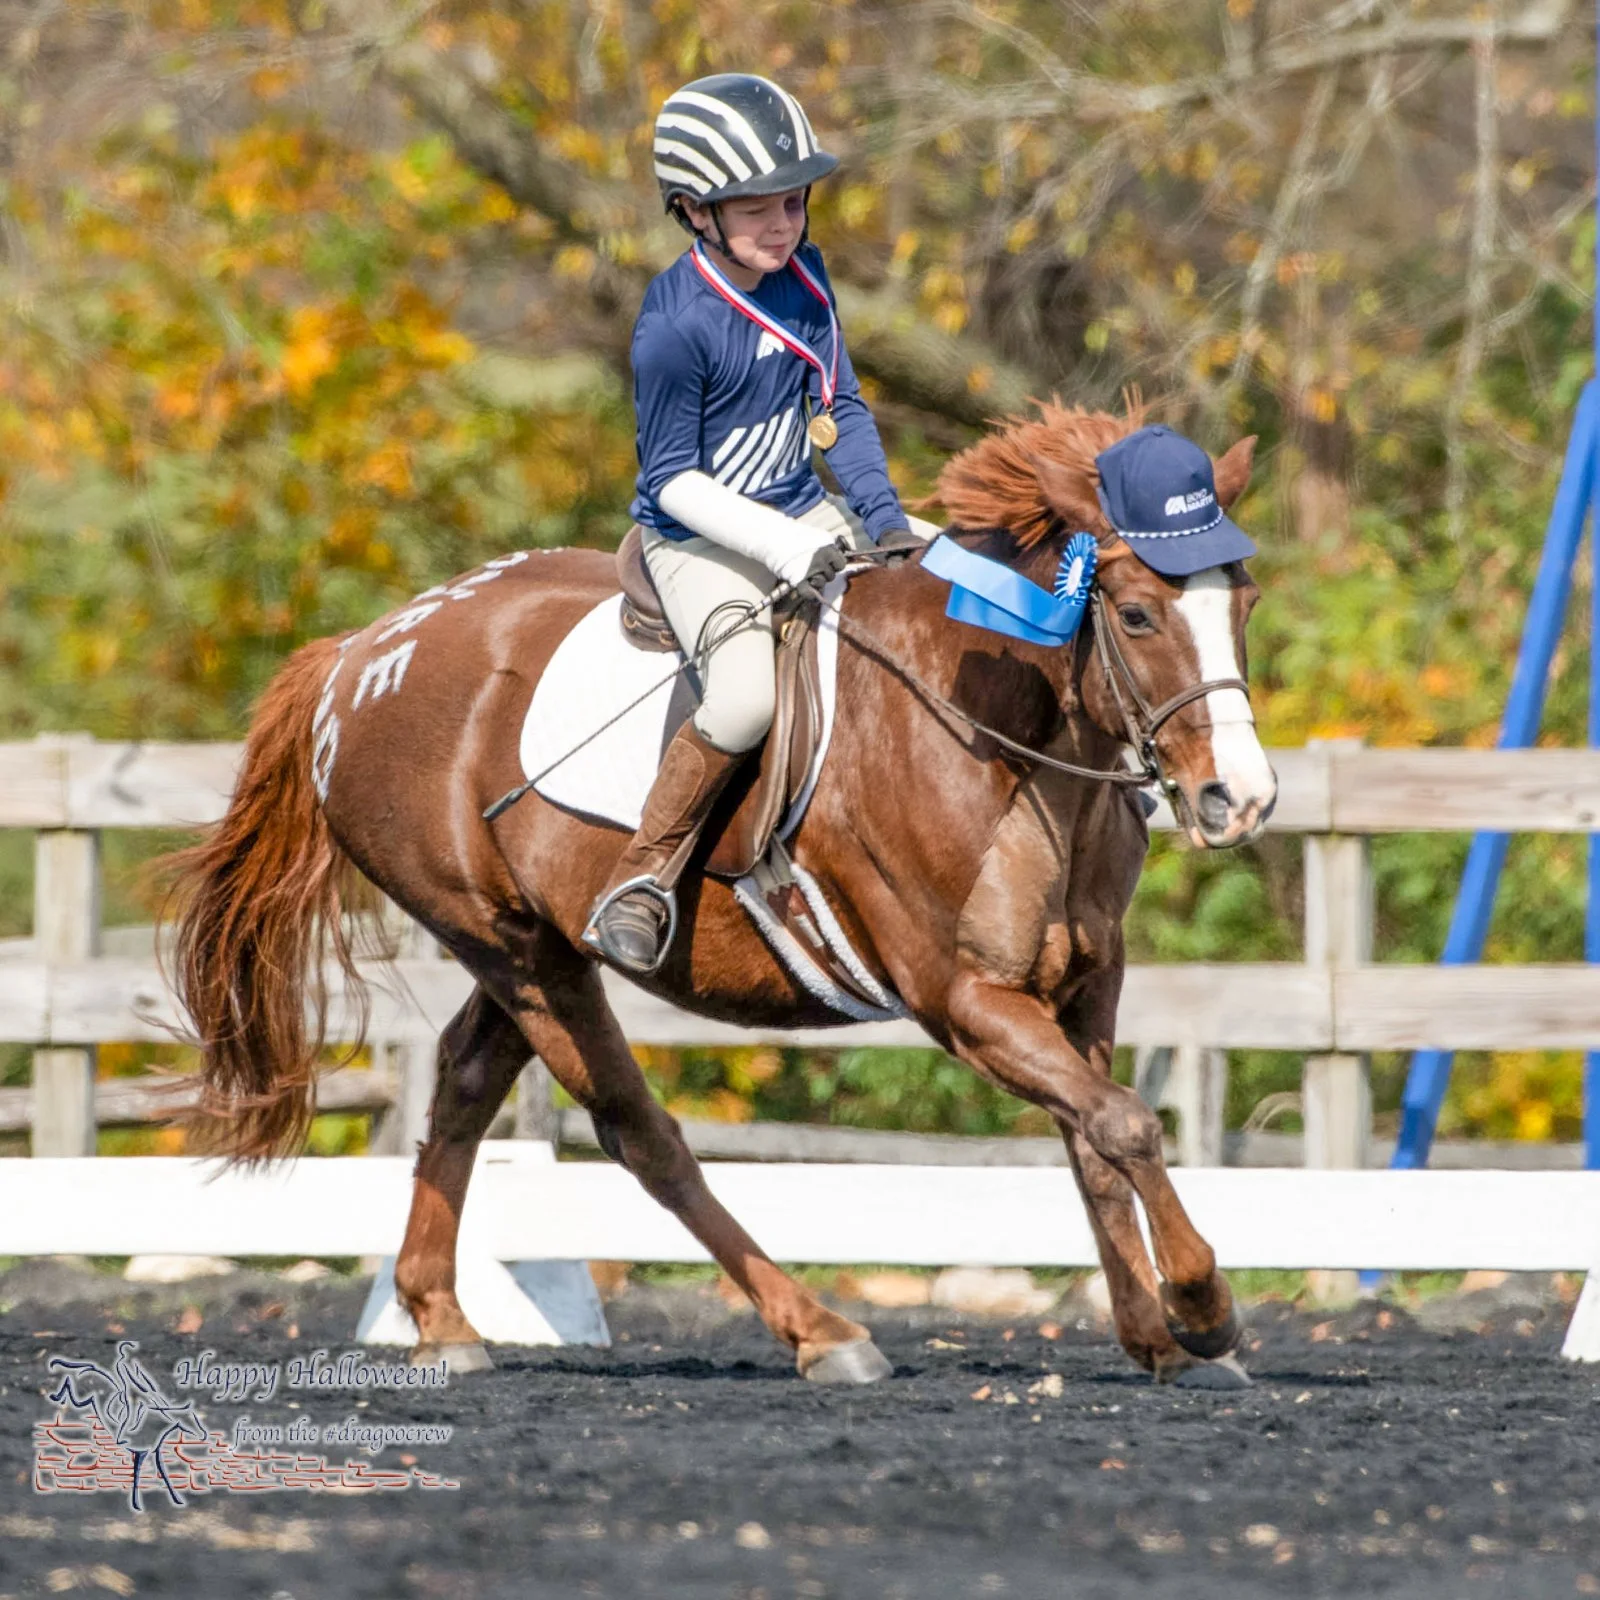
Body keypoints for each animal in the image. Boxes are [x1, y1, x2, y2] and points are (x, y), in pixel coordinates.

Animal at [164, 398, 1276, 1387]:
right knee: (638, 1132)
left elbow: (1093, 1136)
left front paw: (1153, 1335)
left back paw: (439, 1318)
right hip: (518, 952)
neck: (999, 740)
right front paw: (1203, 1308)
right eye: (1136, 614)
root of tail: (358, 655)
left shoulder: (1085, 983)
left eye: (1245, 604)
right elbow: (1123, 1124)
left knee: (467, 1083)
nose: (1242, 799)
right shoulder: (963, 1000)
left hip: (530, 944)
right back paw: (822, 1332)